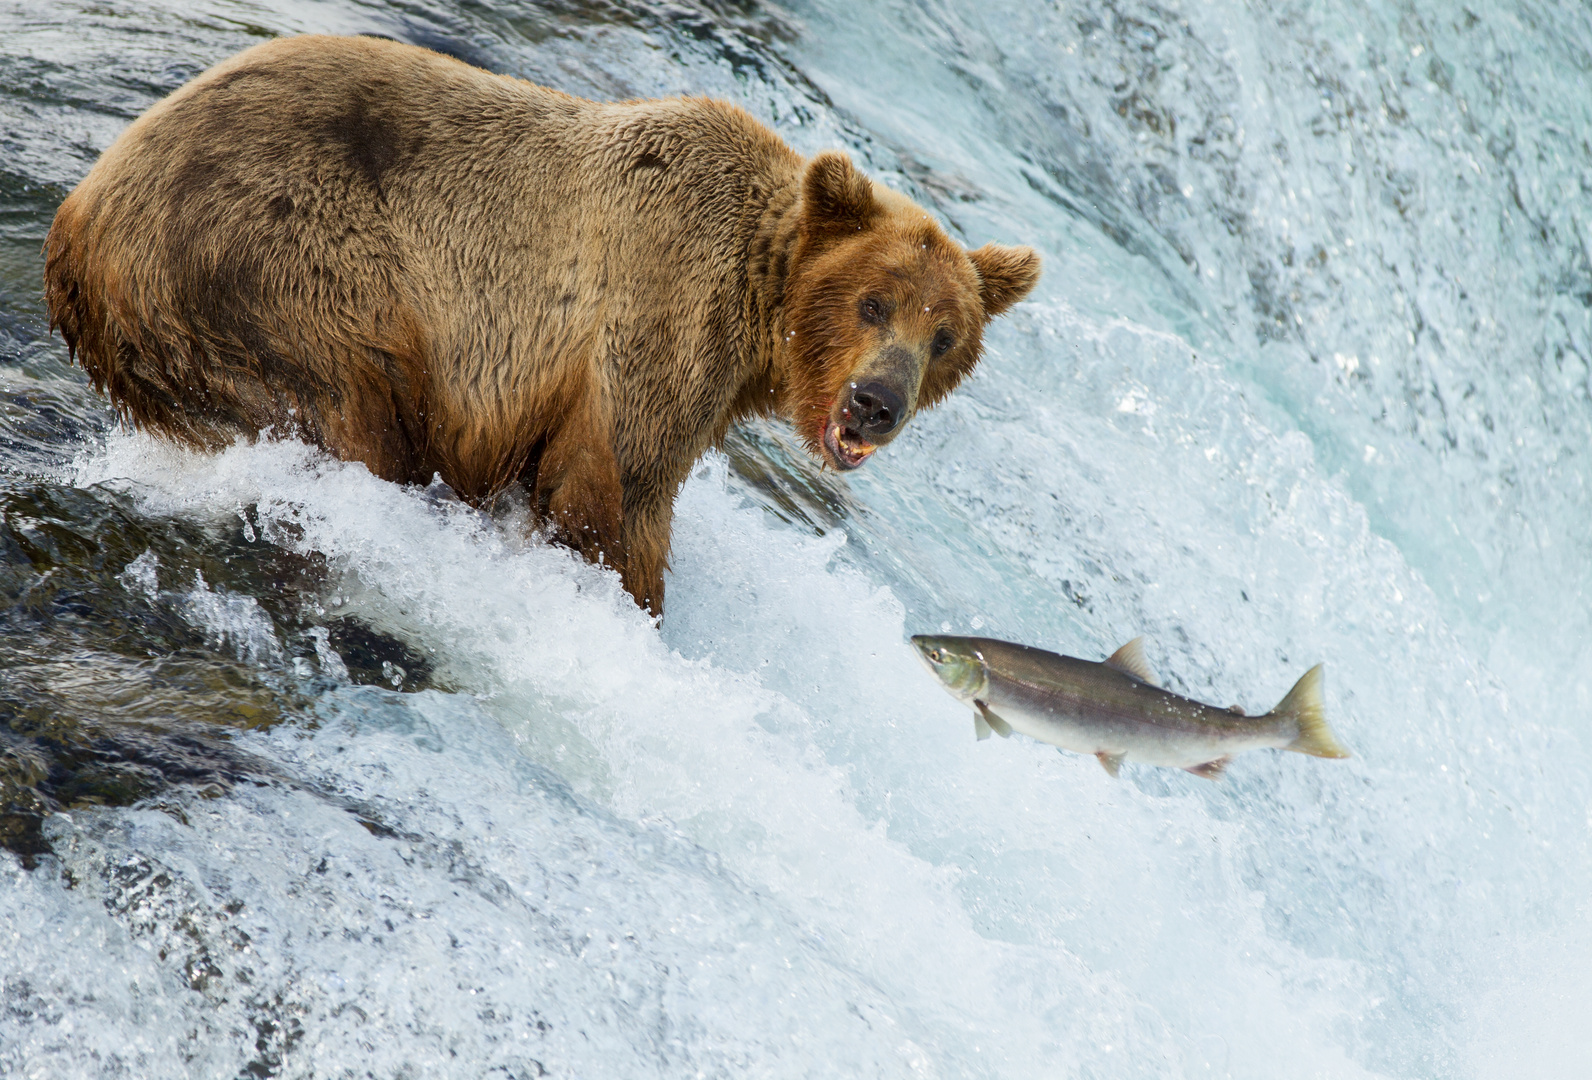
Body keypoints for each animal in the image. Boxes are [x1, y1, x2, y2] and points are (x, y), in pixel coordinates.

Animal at [43, 36, 1037, 618]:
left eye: (946, 337)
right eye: (874, 301)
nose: (875, 402)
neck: (761, 308)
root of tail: (75, 226)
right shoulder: (654, 311)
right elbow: (613, 494)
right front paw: (633, 607)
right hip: (276, 263)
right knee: (352, 409)